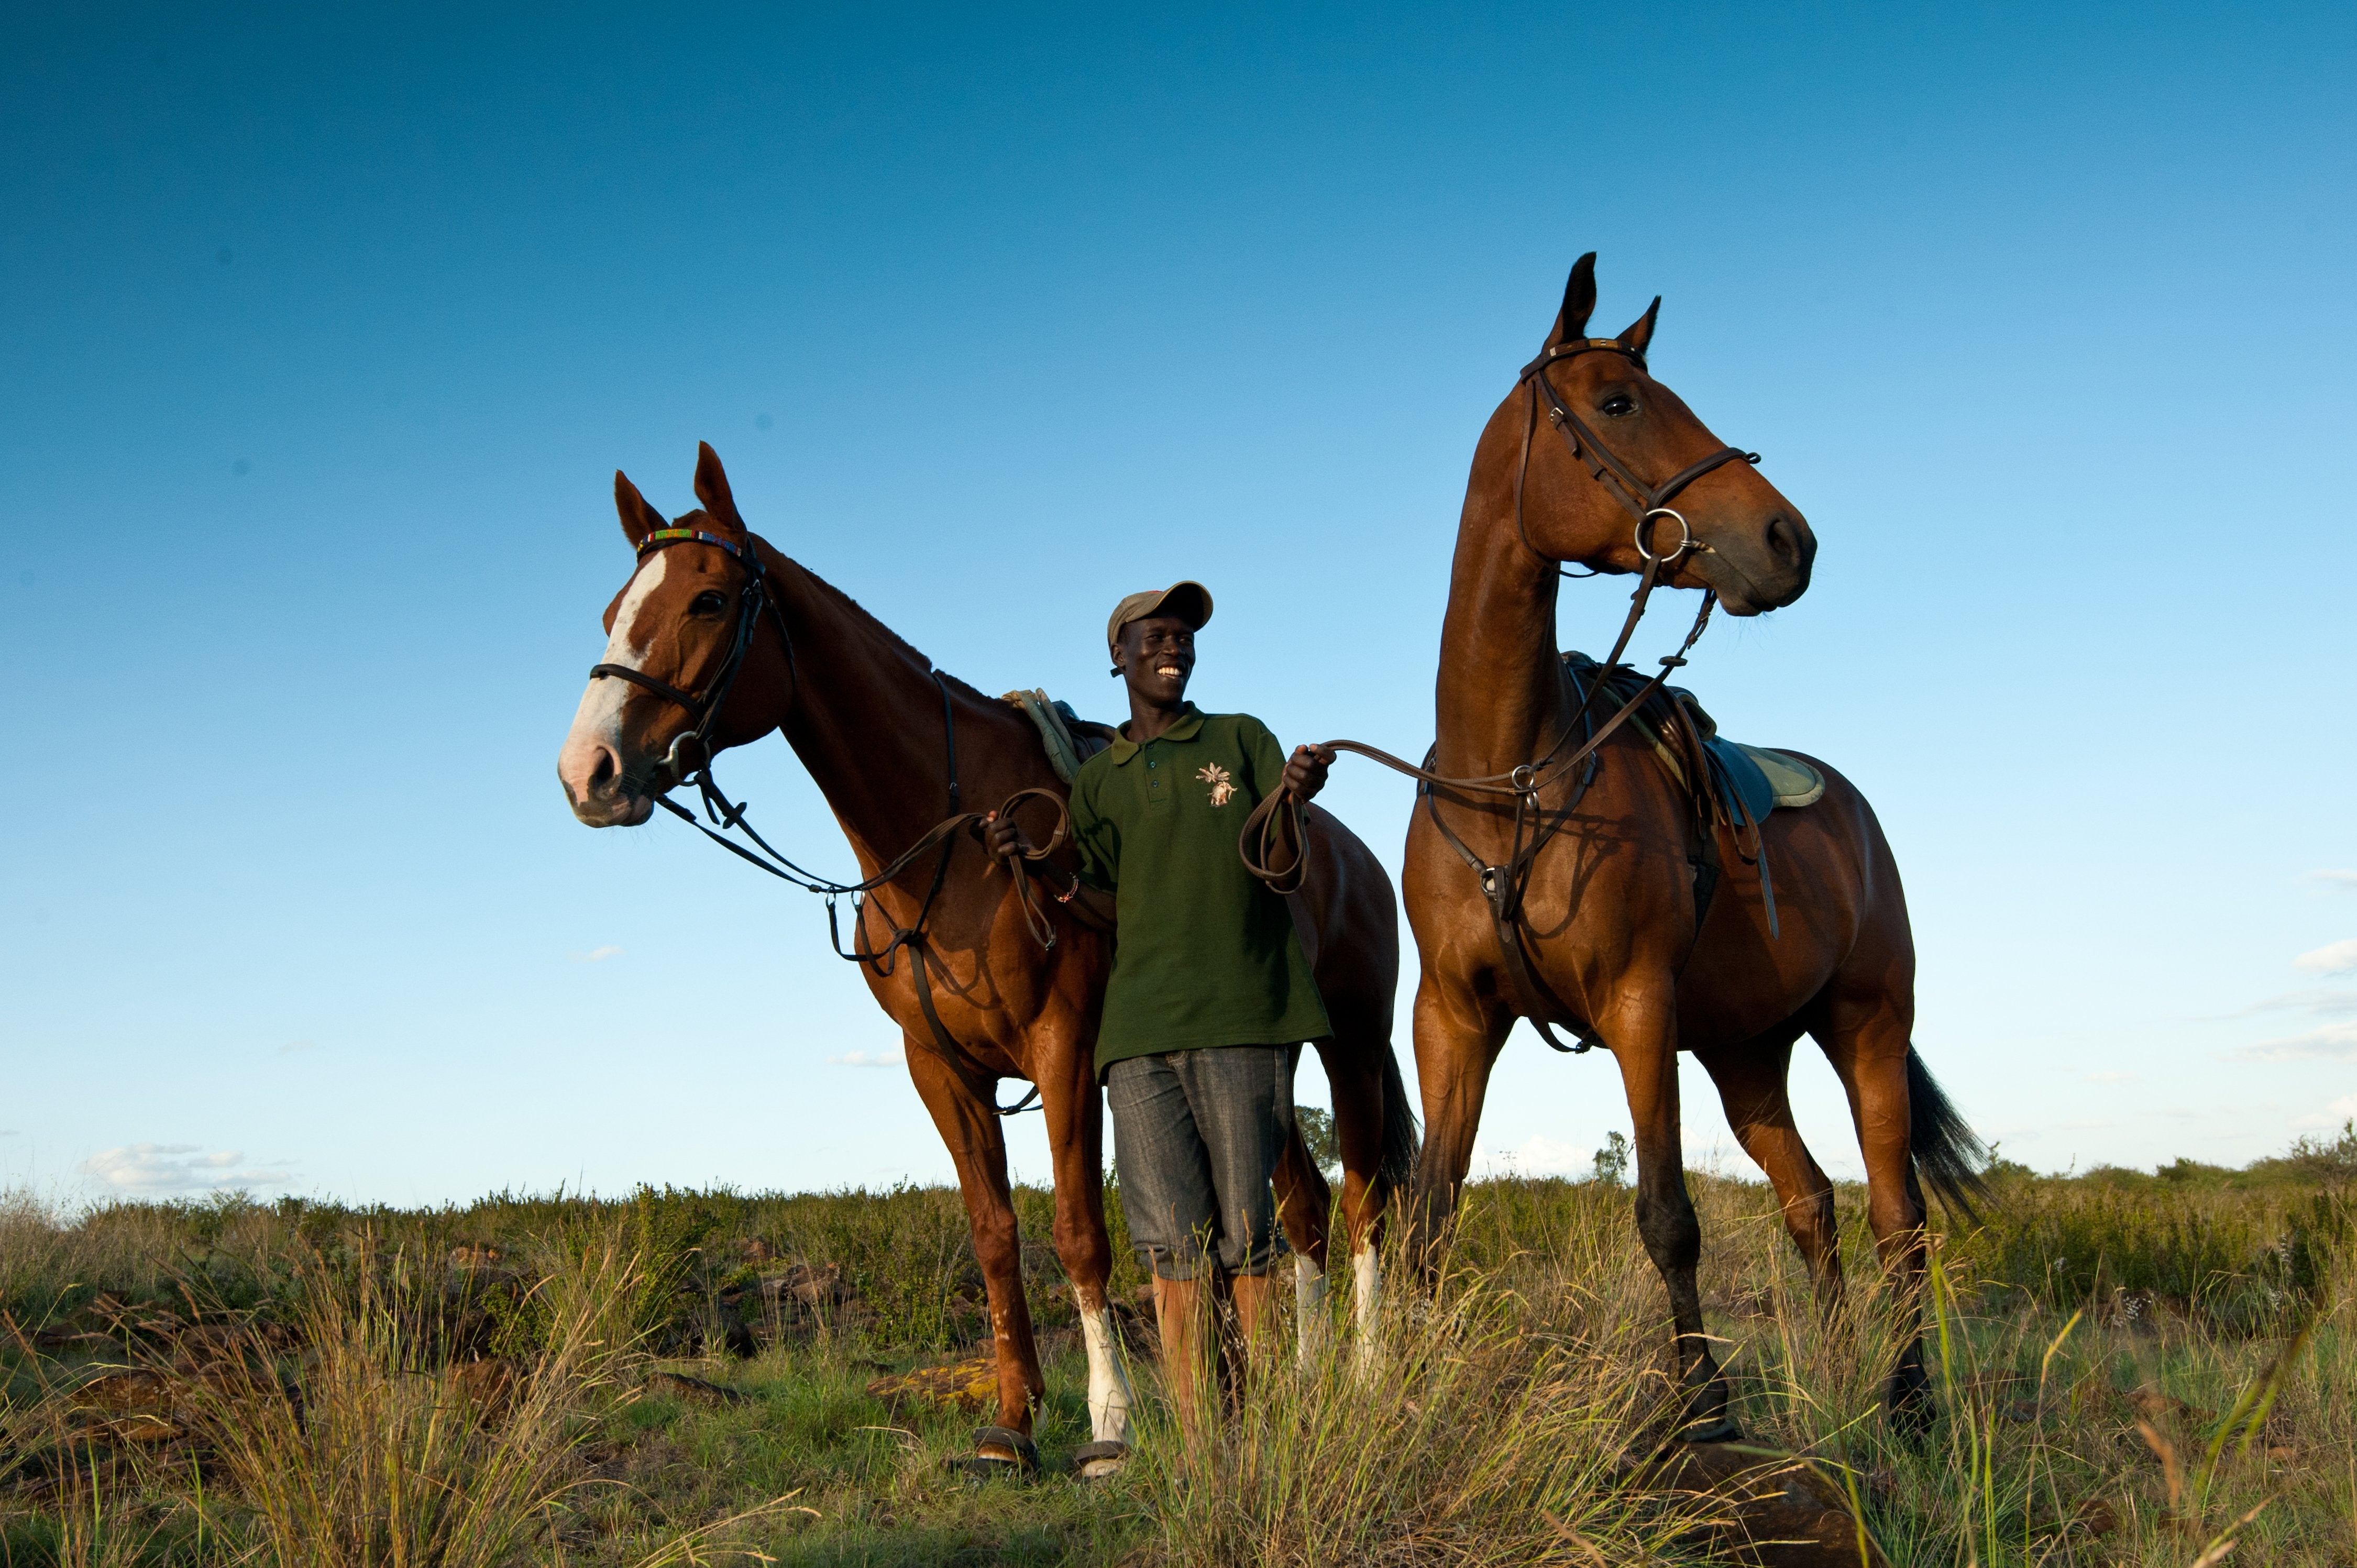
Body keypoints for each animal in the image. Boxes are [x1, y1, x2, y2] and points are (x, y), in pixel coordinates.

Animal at [552, 440, 1414, 1471]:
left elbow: (1079, 1234)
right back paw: (1303, 1380)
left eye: (709, 599)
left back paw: (1363, 1376)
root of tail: (1343, 843)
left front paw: (1110, 1420)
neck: (953, 841)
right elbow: (996, 1235)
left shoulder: (1066, 1049)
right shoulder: (942, 1069)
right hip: (1268, 1059)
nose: (589, 772)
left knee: (1360, 1199)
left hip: (1350, 1043)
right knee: (1300, 1206)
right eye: (613, 609)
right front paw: (1014, 1419)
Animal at [1395, 253, 1989, 1433]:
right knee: (1812, 1201)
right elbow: (1433, 1217)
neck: (1511, 780)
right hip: (1745, 1051)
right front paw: (1409, 1390)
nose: (1788, 540)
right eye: (1621, 403)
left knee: (1896, 1213)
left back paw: (1906, 1396)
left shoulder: (1637, 1005)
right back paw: (1845, 1370)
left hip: (1866, 1028)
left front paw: (1703, 1400)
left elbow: (1667, 1213)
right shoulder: (1454, 1019)